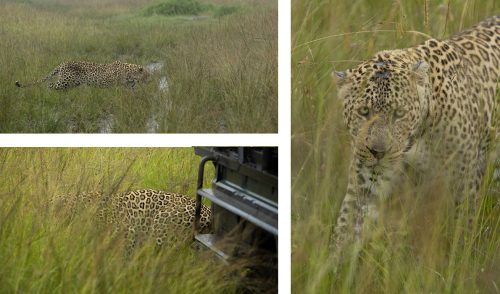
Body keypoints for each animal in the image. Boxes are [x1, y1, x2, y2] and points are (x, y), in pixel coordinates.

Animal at [330, 15, 498, 264]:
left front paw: (458, 262)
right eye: (364, 111)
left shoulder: (465, 181)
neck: (416, 137)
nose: (378, 152)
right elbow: (347, 226)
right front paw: (331, 268)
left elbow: (462, 230)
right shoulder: (365, 183)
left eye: (399, 113)